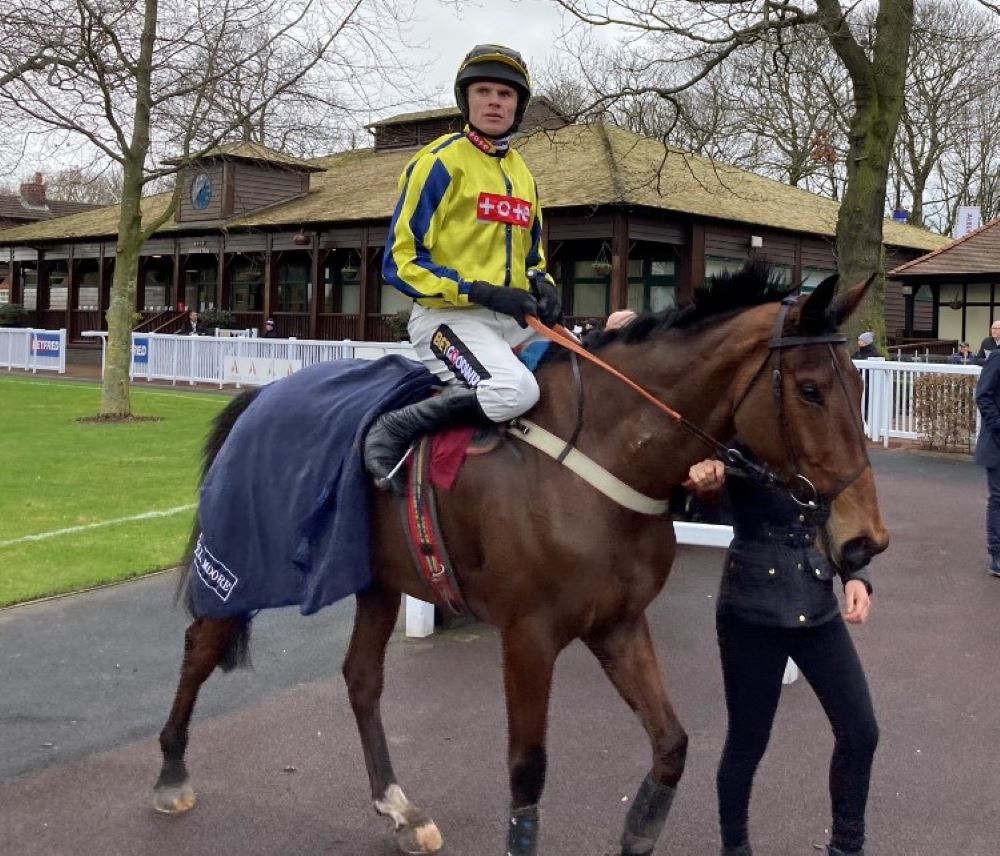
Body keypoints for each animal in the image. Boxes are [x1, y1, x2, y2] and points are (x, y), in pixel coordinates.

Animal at [152, 270, 888, 856]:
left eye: (857, 382)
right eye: (812, 389)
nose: (866, 540)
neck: (599, 452)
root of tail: (259, 399)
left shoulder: (618, 623)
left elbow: (672, 744)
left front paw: (638, 833)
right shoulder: (529, 636)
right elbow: (527, 769)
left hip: (378, 581)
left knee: (361, 678)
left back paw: (399, 807)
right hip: (243, 563)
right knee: (198, 646)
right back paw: (170, 774)